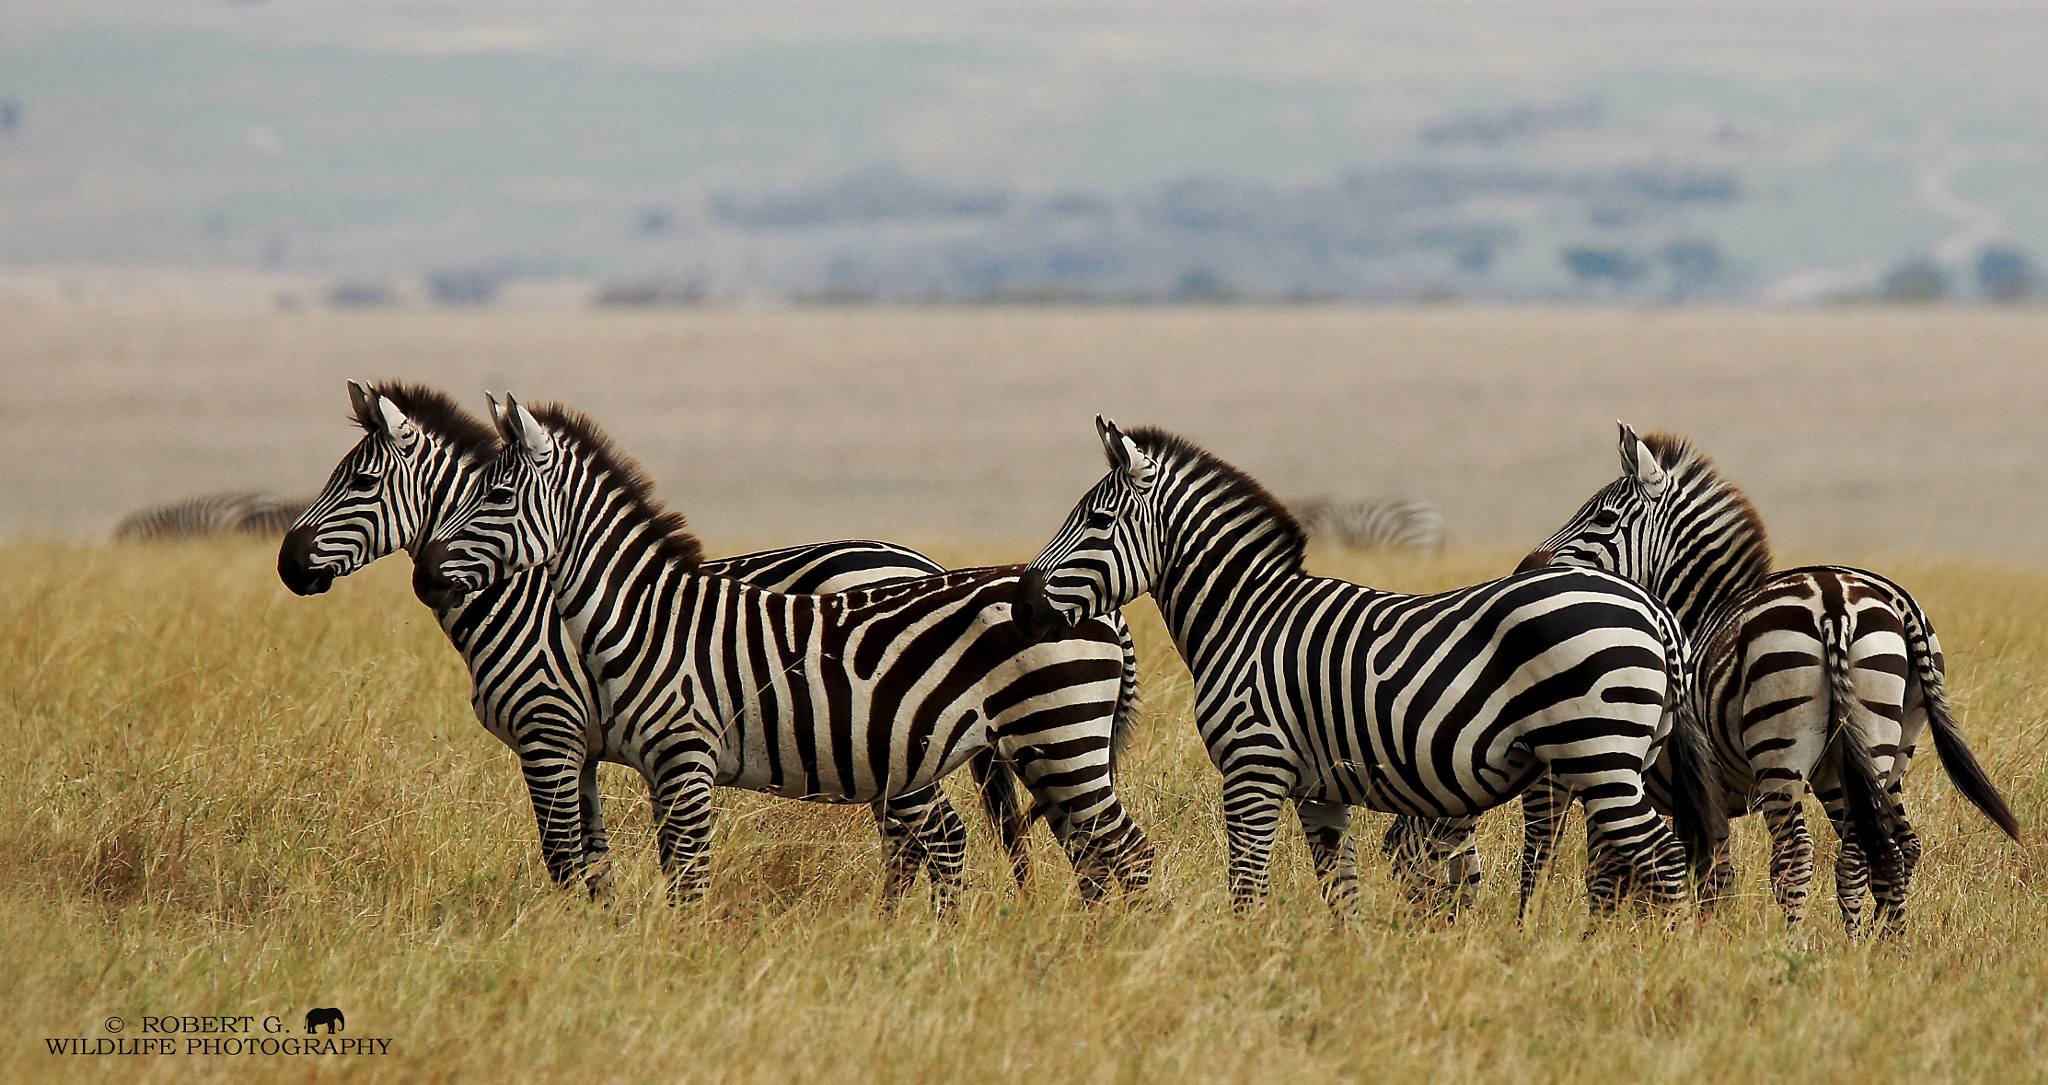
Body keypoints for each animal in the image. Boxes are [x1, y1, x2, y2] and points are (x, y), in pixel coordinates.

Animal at [276, 380, 1138, 904]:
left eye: (359, 482)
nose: (286, 563)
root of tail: (921, 560)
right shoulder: (586, 748)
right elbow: (594, 859)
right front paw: (605, 937)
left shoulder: (552, 733)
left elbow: (575, 860)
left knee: (957, 841)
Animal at [1523, 421, 2015, 929]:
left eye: (1602, 517)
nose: (1526, 567)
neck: (1699, 612)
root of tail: (1835, 601)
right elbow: (1703, 877)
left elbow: (1640, 875)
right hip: (1884, 744)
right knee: (1888, 848)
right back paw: (1878, 941)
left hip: (1779, 749)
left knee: (1797, 854)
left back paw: (1792, 942)